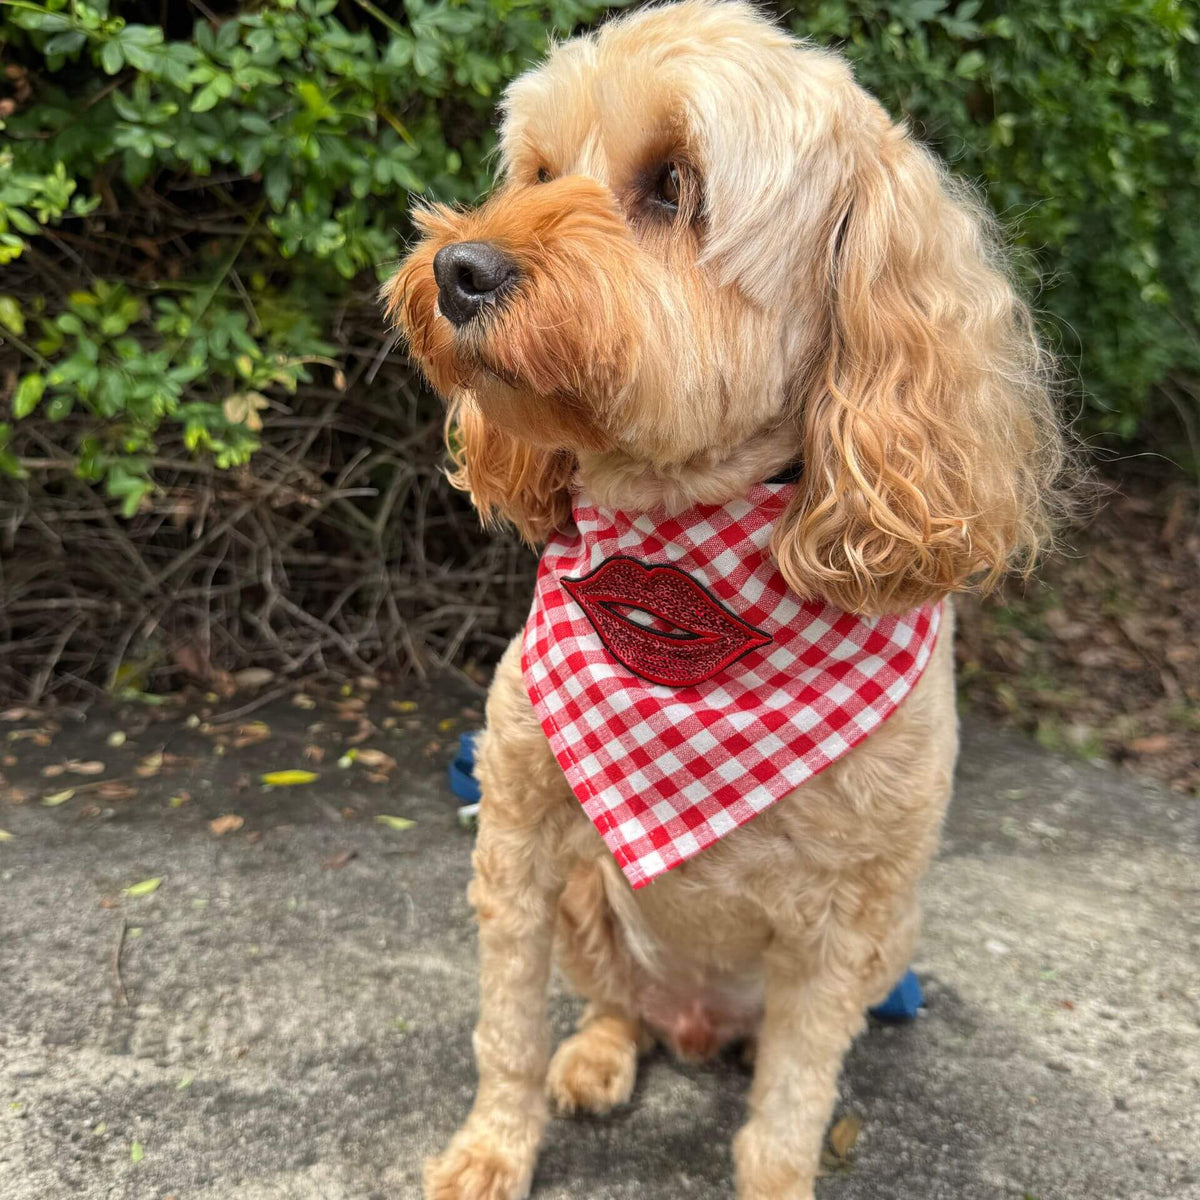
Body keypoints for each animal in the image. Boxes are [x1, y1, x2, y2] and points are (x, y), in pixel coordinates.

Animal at [384, 4, 1070, 1195]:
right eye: (538, 171)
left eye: (675, 184)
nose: (458, 268)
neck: (680, 580)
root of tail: (695, 1022)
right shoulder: (516, 840)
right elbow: (506, 1031)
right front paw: (490, 1151)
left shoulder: (846, 928)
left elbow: (790, 1105)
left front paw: (779, 1173)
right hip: (588, 896)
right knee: (618, 1005)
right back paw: (599, 1056)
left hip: (890, 943)